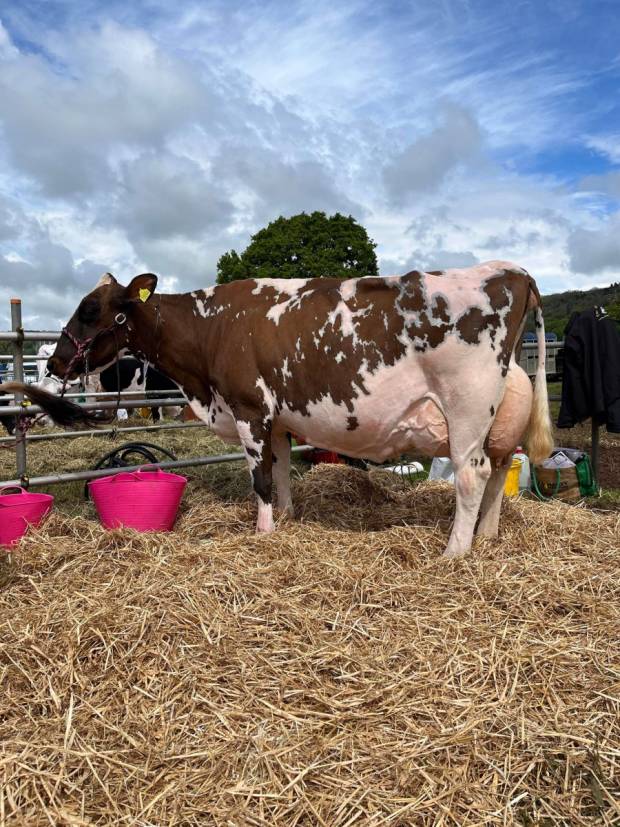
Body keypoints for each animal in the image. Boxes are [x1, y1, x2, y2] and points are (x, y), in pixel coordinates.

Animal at [2, 262, 556, 560]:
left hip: (466, 408)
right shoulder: (280, 418)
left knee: (471, 474)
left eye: (90, 309)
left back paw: (455, 551)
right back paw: (488, 536)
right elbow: (284, 468)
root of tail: (509, 271)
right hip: (498, 419)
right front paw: (288, 518)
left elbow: (261, 478)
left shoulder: (249, 407)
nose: (55, 361)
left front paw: (263, 531)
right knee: (498, 471)